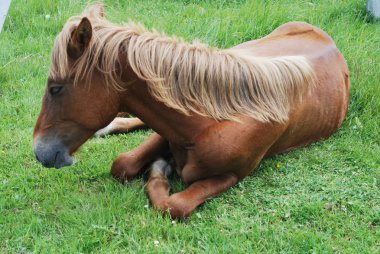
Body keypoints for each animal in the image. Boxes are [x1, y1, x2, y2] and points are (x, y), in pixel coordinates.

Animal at [34, 5, 348, 218]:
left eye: (56, 88)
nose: (39, 151)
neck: (215, 120)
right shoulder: (165, 131)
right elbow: (122, 164)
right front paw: (157, 164)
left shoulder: (231, 176)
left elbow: (174, 205)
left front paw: (160, 170)